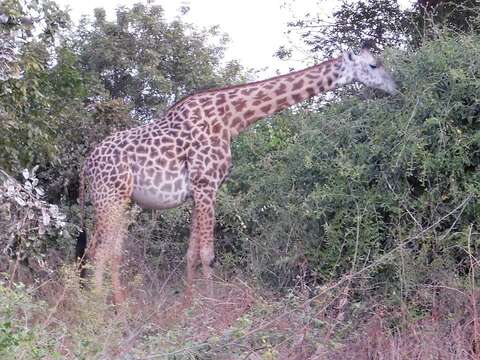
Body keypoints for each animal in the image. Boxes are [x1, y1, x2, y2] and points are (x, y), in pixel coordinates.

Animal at [76, 43, 398, 306]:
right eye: (373, 65)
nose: (396, 87)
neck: (232, 120)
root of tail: (85, 167)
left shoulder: (199, 190)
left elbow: (191, 254)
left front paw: (188, 307)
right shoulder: (206, 185)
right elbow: (208, 254)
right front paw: (210, 309)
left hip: (124, 201)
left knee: (111, 251)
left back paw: (119, 307)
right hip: (109, 198)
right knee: (96, 251)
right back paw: (96, 309)